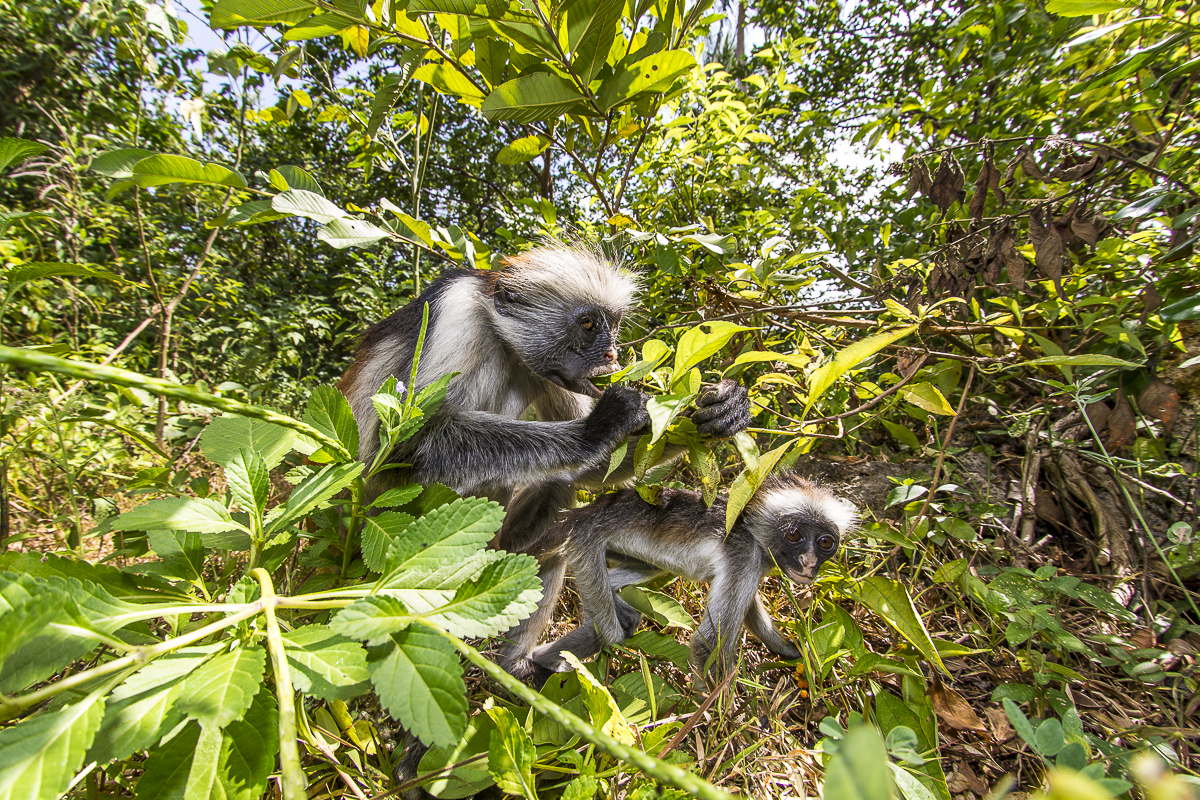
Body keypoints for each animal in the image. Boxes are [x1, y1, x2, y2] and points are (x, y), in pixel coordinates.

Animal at [501, 472, 859, 686]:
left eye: (825, 542)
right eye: (794, 535)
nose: (808, 561)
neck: (750, 529)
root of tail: (580, 515)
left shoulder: (755, 565)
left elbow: (752, 614)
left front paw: (788, 650)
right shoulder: (745, 556)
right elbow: (707, 645)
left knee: (622, 589)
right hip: (585, 545)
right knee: (608, 633)